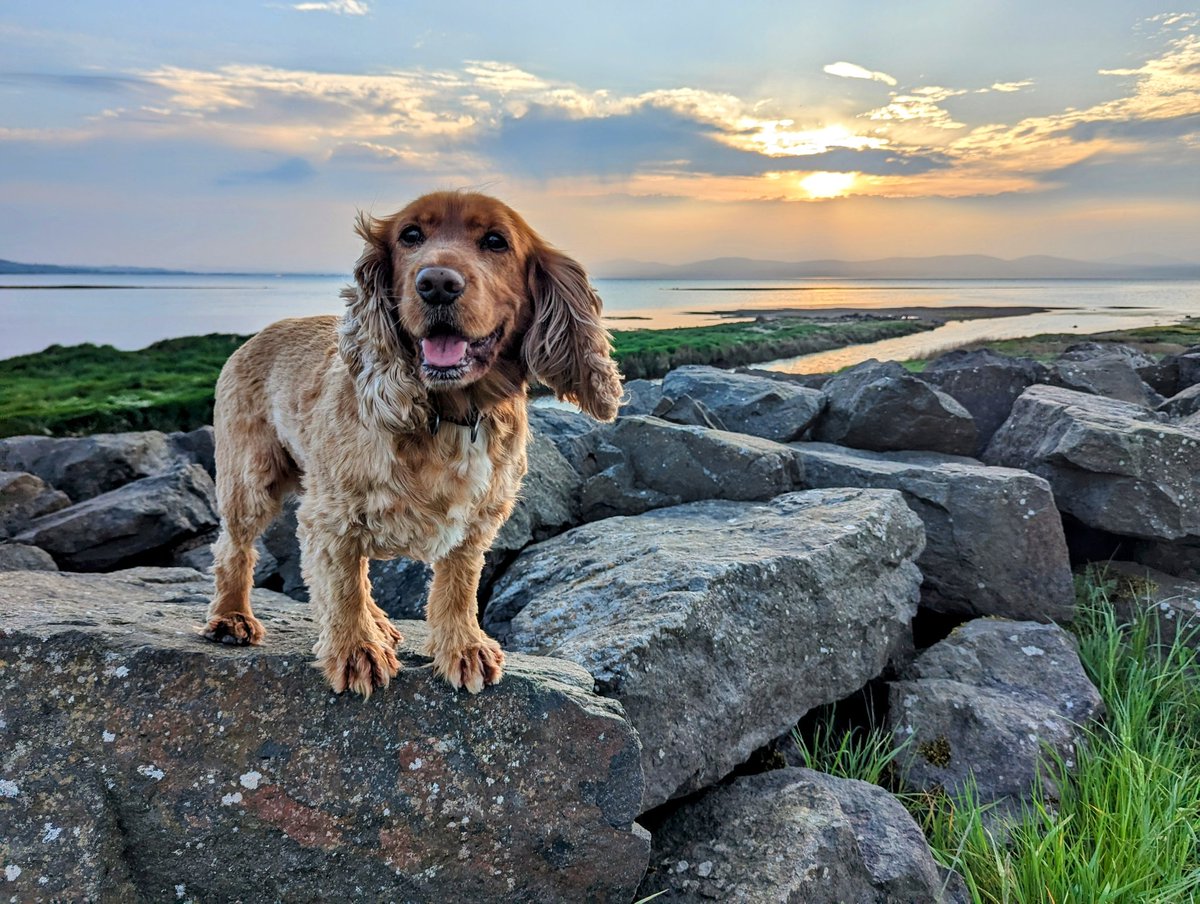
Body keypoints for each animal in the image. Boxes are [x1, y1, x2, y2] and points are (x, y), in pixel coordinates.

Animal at [202, 190, 624, 696]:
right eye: (410, 236)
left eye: (496, 241)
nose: (437, 283)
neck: (452, 415)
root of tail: (256, 335)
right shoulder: (332, 515)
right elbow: (342, 586)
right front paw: (356, 650)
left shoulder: (478, 518)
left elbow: (458, 584)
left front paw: (463, 647)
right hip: (250, 478)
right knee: (234, 548)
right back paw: (232, 616)